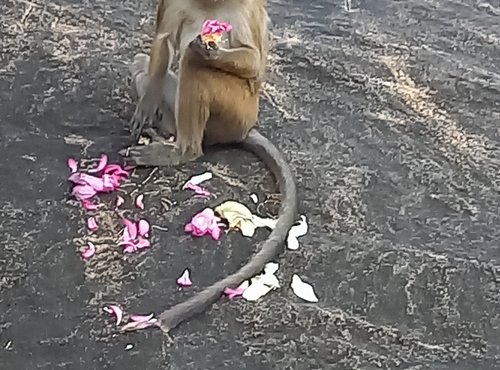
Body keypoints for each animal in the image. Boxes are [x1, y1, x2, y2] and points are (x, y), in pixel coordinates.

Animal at [119, 0, 298, 332]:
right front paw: (147, 104)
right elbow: (163, 38)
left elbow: (253, 60)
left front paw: (210, 50)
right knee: (145, 63)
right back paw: (162, 132)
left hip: (235, 112)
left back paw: (184, 151)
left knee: (194, 62)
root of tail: (245, 129)